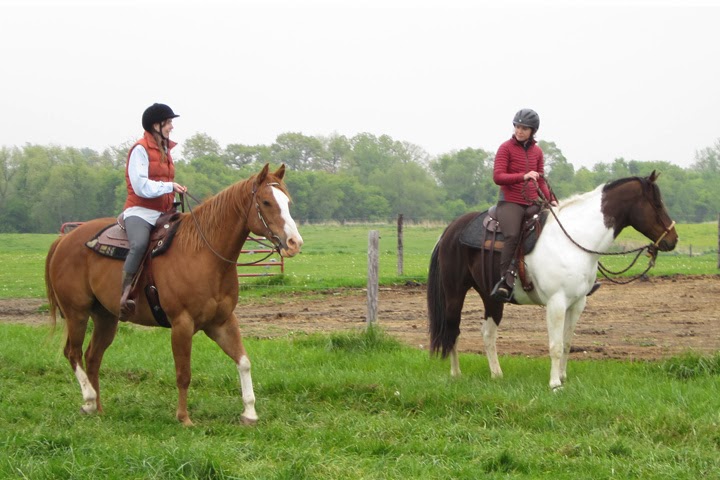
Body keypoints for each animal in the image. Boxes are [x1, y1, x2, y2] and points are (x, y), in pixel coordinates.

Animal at [45, 164, 303, 426]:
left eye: (287, 202)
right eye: (266, 201)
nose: (294, 243)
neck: (203, 253)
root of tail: (64, 240)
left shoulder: (222, 322)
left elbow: (244, 362)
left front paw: (249, 412)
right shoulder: (182, 324)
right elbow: (183, 373)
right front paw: (183, 417)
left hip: (106, 317)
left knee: (92, 357)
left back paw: (98, 408)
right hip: (77, 313)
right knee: (73, 353)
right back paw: (88, 400)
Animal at [427, 171, 678, 389]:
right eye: (657, 204)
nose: (673, 240)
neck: (575, 240)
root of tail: (450, 230)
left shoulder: (577, 303)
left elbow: (567, 343)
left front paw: (563, 376)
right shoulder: (556, 303)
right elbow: (555, 345)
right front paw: (555, 383)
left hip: (492, 298)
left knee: (488, 333)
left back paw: (497, 374)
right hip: (455, 292)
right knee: (453, 330)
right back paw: (456, 374)